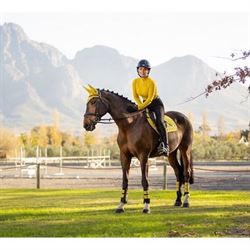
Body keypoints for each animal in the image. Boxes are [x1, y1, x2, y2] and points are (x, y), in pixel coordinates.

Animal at [82, 85, 193, 214]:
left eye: (93, 102)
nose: (86, 125)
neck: (129, 125)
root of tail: (184, 117)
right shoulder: (124, 156)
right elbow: (125, 181)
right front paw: (121, 205)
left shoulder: (143, 156)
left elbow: (144, 180)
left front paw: (146, 205)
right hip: (171, 154)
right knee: (178, 172)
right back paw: (178, 200)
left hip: (185, 149)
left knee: (186, 172)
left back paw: (186, 201)